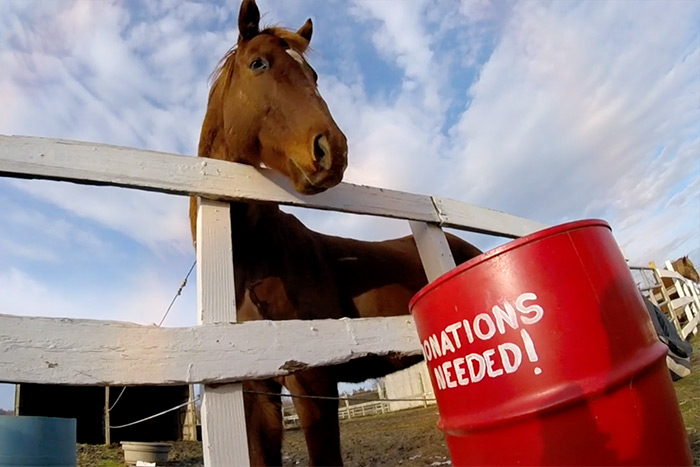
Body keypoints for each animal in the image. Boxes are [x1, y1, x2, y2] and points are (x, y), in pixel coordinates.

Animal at [189, 1, 484, 466]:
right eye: (258, 63)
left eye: (314, 76)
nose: (333, 150)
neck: (252, 259)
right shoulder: (255, 389)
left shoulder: (314, 380)